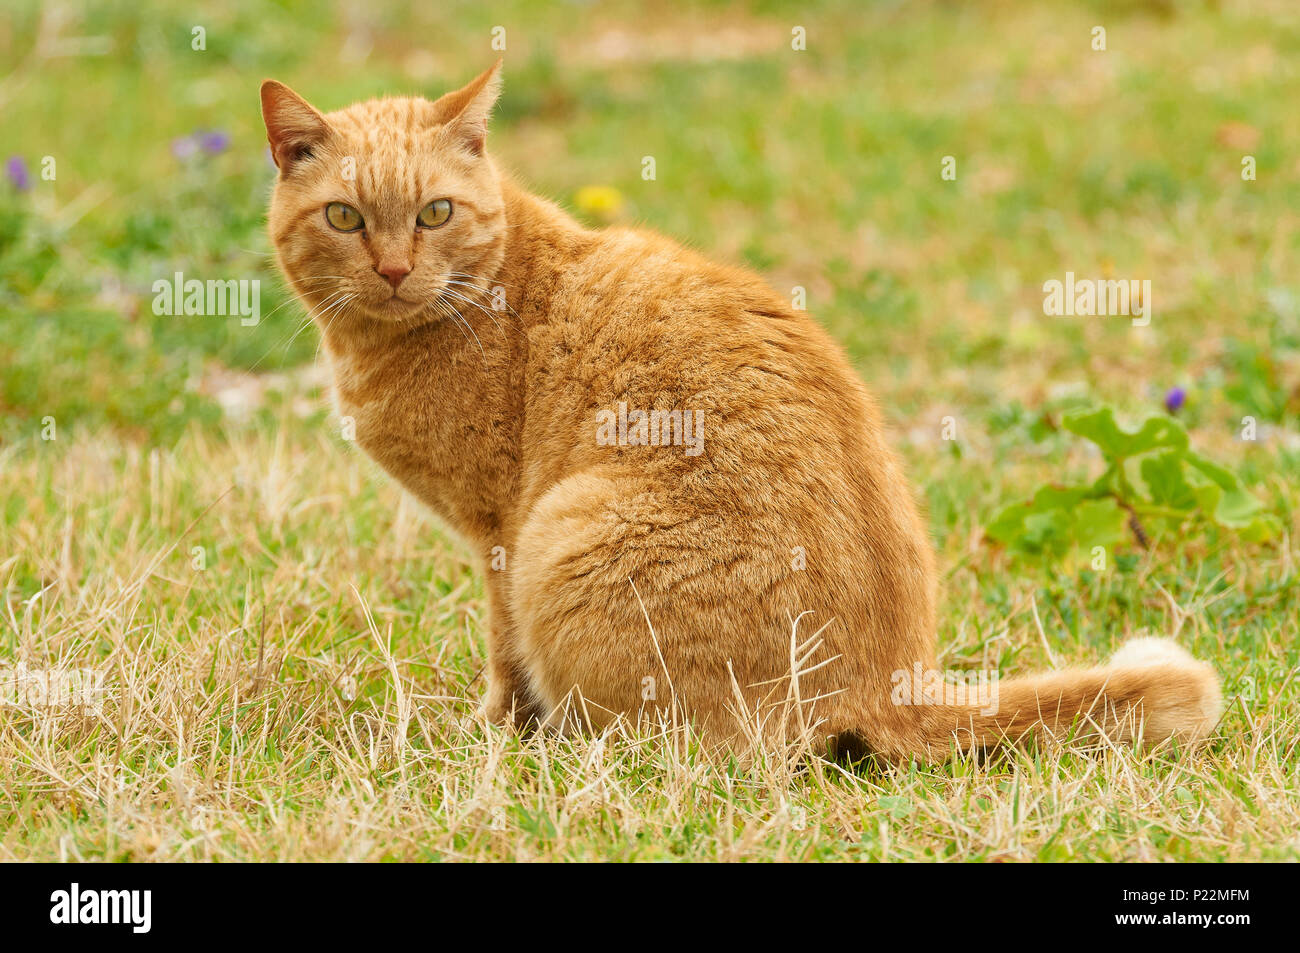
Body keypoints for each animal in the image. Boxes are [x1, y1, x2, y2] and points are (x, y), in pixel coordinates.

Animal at [261, 63, 1216, 759]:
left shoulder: (500, 530)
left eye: (435, 212)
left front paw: (492, 731)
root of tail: (892, 686)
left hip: (559, 531)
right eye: (344, 217)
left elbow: (504, 657)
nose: (392, 269)